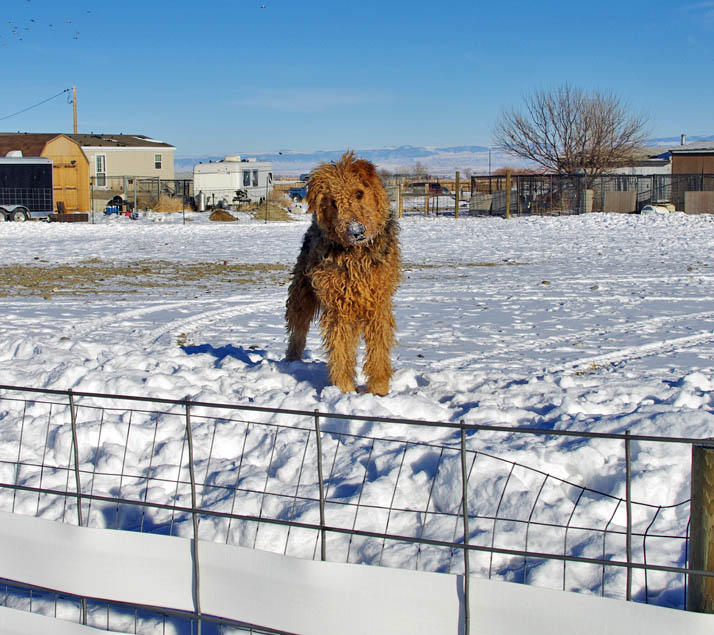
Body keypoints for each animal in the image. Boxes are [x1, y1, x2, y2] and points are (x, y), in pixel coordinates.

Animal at [286, 152, 400, 396]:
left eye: (359, 193)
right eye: (333, 202)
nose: (356, 231)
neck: (356, 255)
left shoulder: (378, 302)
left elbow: (378, 346)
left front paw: (378, 388)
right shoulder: (338, 306)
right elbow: (340, 348)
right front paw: (344, 389)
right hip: (301, 295)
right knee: (297, 332)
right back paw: (291, 362)